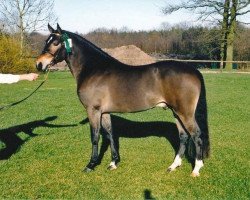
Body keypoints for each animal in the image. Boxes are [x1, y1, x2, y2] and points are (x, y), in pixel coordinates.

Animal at [36, 24, 210, 177]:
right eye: (46, 41)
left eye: (55, 42)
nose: (39, 64)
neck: (94, 69)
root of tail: (193, 70)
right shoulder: (104, 112)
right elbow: (110, 134)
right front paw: (113, 163)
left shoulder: (93, 110)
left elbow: (95, 137)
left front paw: (90, 165)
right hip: (176, 112)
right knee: (184, 136)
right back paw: (174, 165)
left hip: (185, 113)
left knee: (196, 135)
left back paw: (196, 169)